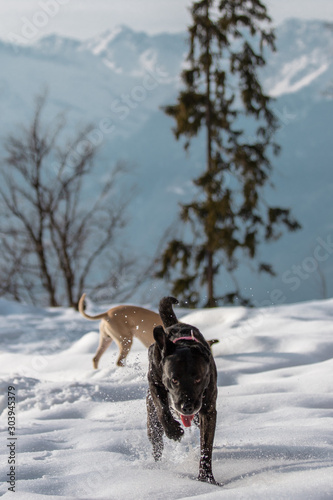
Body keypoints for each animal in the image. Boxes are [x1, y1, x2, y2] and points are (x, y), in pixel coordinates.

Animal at [145, 296, 218, 484]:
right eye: (174, 380)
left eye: (198, 379)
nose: (187, 406)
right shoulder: (154, 382)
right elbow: (162, 408)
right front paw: (173, 431)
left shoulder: (208, 410)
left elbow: (206, 447)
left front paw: (206, 479)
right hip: (152, 424)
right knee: (156, 439)